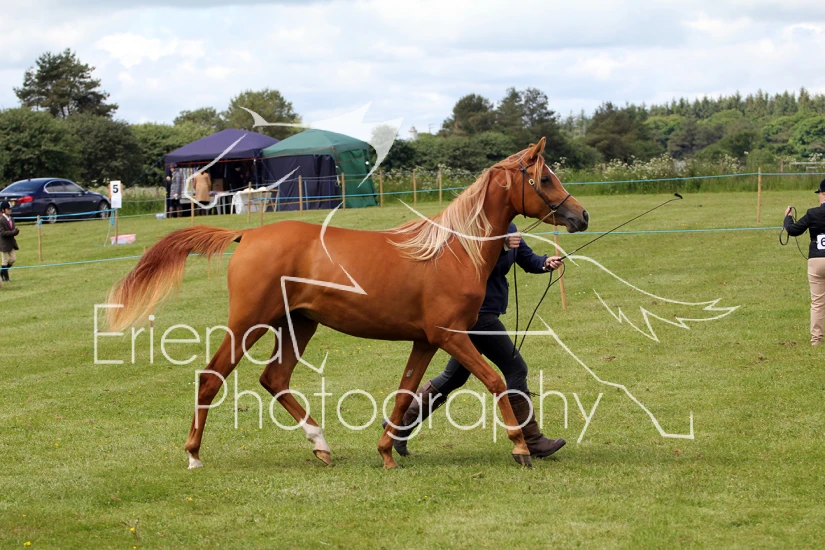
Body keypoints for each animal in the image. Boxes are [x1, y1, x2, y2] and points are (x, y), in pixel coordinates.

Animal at [106, 138, 589, 469]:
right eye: (546, 178)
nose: (581, 216)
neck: (452, 251)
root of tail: (248, 235)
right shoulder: (451, 336)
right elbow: (495, 380)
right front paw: (521, 448)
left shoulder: (427, 340)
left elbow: (406, 392)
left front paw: (387, 452)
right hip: (249, 323)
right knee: (211, 377)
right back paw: (194, 455)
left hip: (297, 325)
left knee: (274, 378)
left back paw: (321, 445)